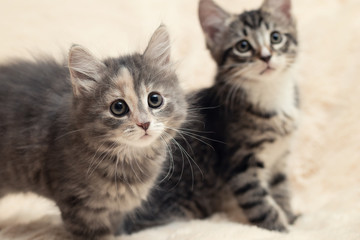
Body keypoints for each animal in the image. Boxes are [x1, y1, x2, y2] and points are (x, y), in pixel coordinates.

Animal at [0, 25, 187, 239]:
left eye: (155, 99)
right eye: (118, 107)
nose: (144, 123)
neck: (129, 161)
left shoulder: (116, 210)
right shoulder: (80, 207)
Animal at [125, 0, 300, 233]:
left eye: (276, 37)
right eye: (243, 46)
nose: (266, 56)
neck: (271, 94)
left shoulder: (280, 159)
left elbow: (282, 191)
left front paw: (291, 217)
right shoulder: (240, 164)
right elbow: (260, 203)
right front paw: (281, 229)